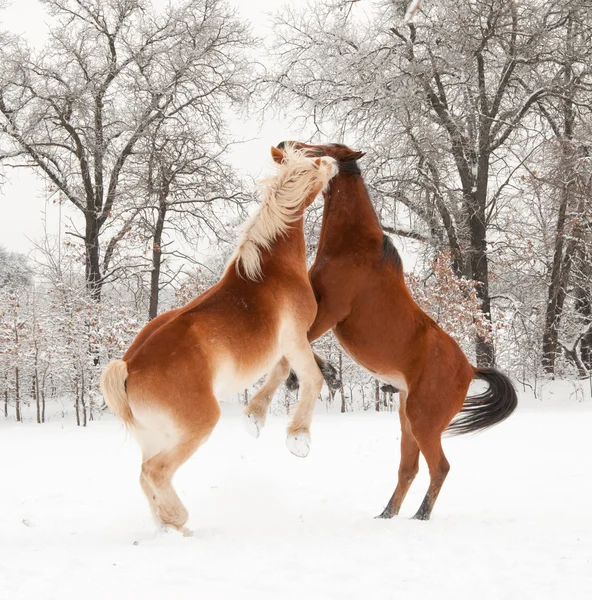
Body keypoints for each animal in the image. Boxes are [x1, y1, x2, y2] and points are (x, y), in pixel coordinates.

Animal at [102, 146, 338, 536]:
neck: (273, 270)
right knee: (155, 472)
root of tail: (129, 367)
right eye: (316, 162)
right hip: (195, 427)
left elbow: (281, 374)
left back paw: (170, 528)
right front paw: (299, 438)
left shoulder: (284, 347)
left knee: (144, 477)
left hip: (154, 436)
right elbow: (311, 379)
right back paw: (180, 521)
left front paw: (255, 417)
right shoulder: (295, 339)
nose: (334, 163)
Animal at [243, 141, 516, 520]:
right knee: (409, 469)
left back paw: (420, 516)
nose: (282, 146)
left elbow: (293, 351)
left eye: (320, 148)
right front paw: (329, 374)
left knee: (439, 467)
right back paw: (387, 514)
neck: (351, 247)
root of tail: (470, 368)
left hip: (423, 421)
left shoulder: (329, 313)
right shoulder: (316, 314)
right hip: (407, 420)